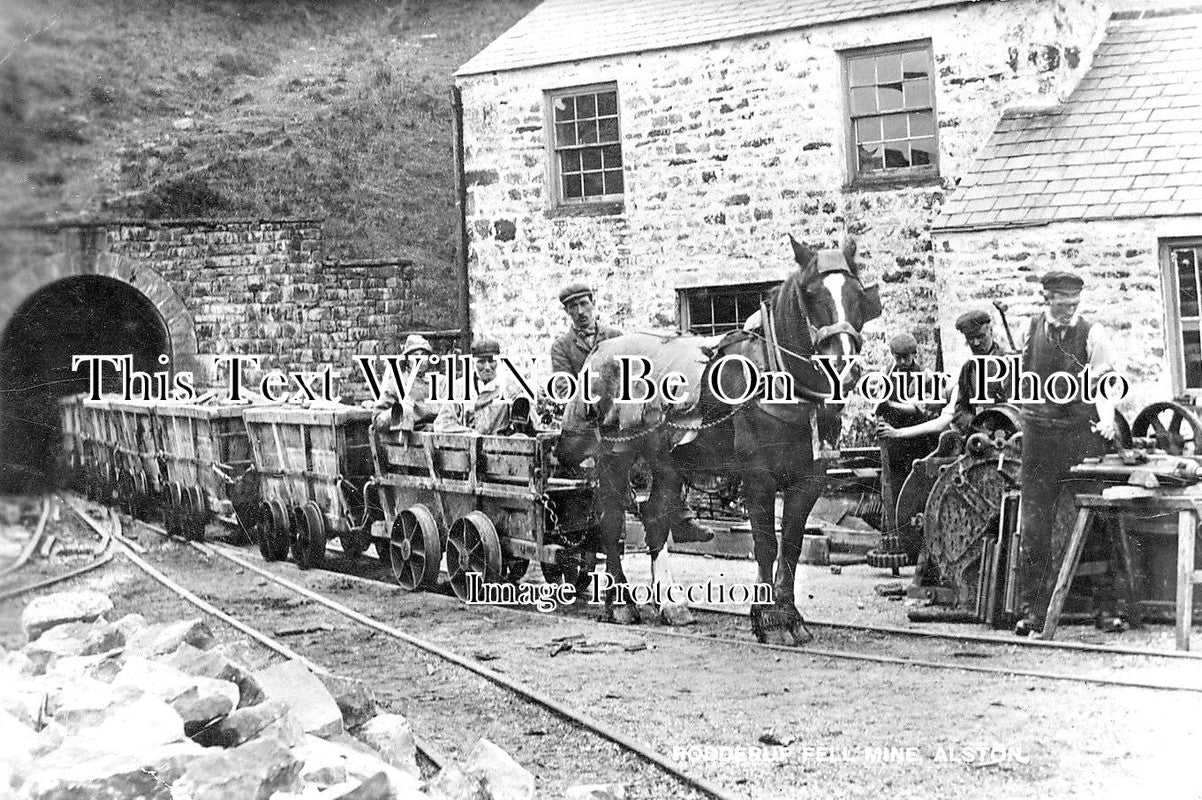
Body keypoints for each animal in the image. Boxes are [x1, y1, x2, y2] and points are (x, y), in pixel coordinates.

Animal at [555, 235, 884, 643]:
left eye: (857, 293)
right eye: (809, 294)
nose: (844, 366)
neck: (778, 375)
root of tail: (601, 351)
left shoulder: (811, 479)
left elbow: (791, 546)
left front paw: (790, 616)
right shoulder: (758, 477)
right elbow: (766, 545)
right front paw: (769, 620)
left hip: (668, 461)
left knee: (655, 518)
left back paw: (671, 605)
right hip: (614, 454)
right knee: (612, 520)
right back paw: (621, 604)